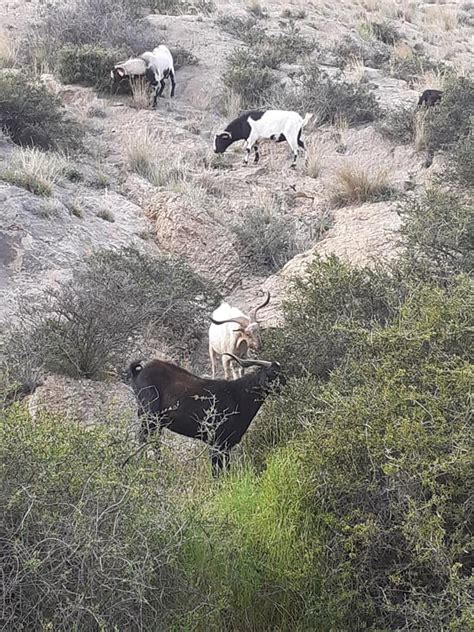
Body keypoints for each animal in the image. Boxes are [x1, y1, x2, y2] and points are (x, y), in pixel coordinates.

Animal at [127, 354, 286, 476]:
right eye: (273, 373)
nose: (286, 387)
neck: (237, 395)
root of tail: (139, 371)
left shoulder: (226, 446)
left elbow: (226, 470)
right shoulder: (216, 442)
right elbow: (216, 471)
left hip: (157, 423)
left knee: (154, 442)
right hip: (148, 416)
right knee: (142, 438)